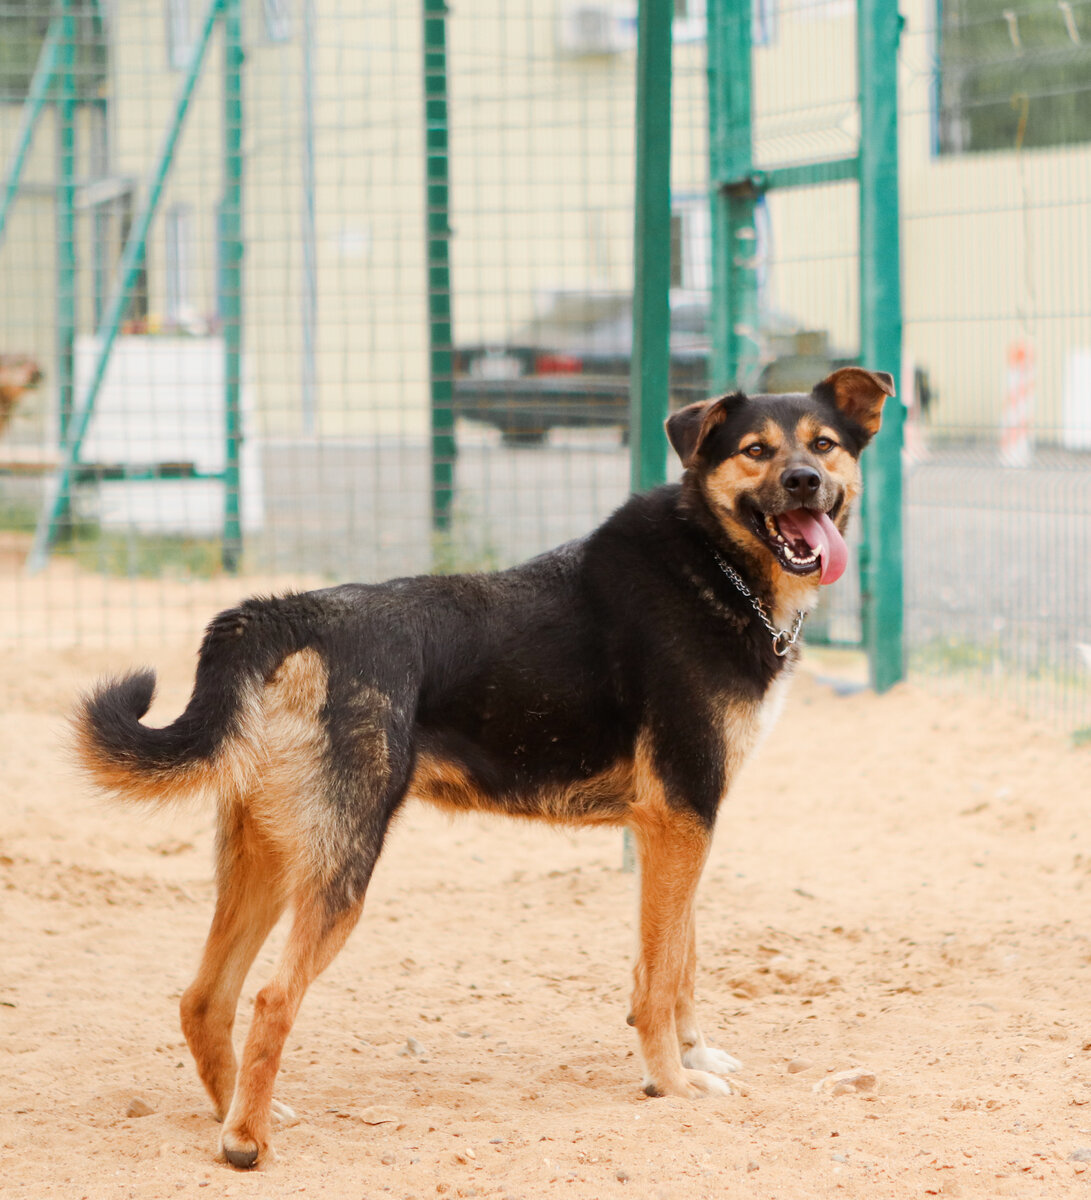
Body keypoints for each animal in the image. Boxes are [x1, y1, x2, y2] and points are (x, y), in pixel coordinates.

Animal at [76, 362, 892, 1161]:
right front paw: (670, 1083)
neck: (713, 563)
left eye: (823, 445)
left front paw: (694, 1059)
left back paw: (235, 1118)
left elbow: (679, 958)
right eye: (755, 451)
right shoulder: (680, 815)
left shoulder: (682, 823)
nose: (803, 482)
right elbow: (660, 976)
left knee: (204, 997)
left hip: (270, 853)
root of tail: (284, 615)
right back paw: (246, 1143)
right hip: (342, 864)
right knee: (272, 998)